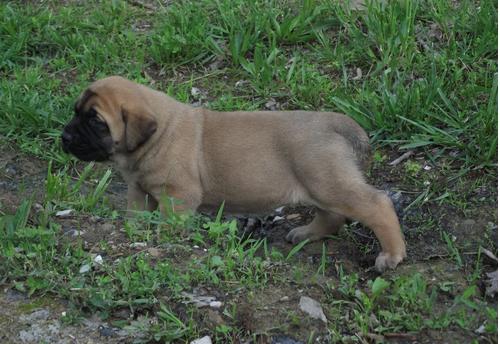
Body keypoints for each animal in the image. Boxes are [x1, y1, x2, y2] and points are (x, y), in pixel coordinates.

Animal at [61, 76, 406, 272]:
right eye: (76, 112)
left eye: (96, 121)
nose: (64, 136)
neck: (158, 135)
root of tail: (335, 122)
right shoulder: (139, 192)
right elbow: (136, 217)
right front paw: (135, 234)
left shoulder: (177, 195)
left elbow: (169, 223)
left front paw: (162, 239)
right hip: (320, 184)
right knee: (331, 216)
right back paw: (306, 234)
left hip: (329, 181)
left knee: (377, 204)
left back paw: (392, 255)